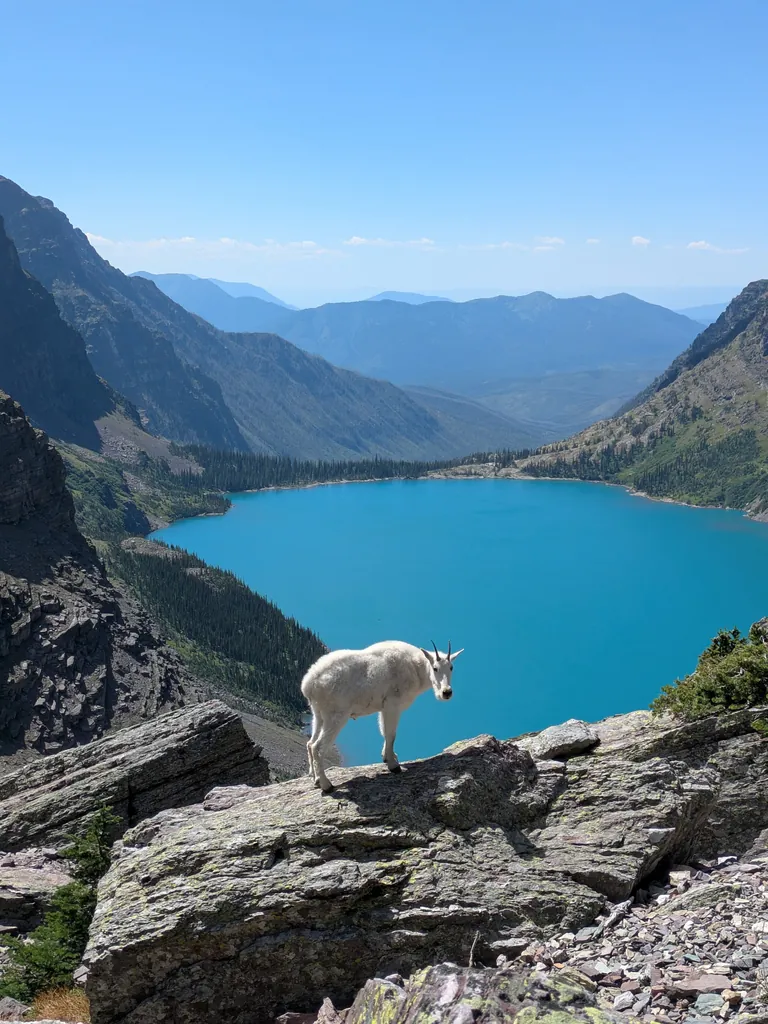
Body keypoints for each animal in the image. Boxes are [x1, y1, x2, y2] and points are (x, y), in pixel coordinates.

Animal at [301, 639, 464, 792]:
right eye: (435, 668)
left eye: (451, 667)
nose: (446, 692)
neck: (416, 667)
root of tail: (308, 684)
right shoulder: (392, 704)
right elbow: (391, 734)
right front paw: (394, 766)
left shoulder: (383, 708)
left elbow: (384, 732)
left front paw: (387, 757)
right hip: (336, 715)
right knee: (317, 747)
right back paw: (326, 785)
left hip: (318, 714)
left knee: (309, 743)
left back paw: (315, 779)